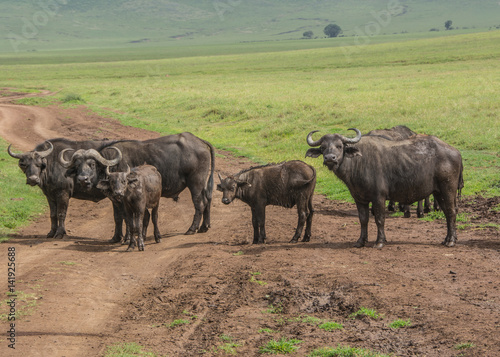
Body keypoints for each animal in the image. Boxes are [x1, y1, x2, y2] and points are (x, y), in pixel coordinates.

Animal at [59, 132, 215, 241]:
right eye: (77, 165)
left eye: (92, 164)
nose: (82, 179)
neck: (112, 166)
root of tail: (199, 141)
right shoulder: (115, 199)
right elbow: (117, 217)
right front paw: (116, 238)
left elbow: (127, 218)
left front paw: (128, 237)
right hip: (202, 184)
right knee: (207, 200)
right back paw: (204, 227)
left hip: (195, 183)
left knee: (200, 204)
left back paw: (192, 229)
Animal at [304, 128, 464, 248]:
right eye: (323, 147)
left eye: (339, 146)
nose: (330, 158)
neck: (358, 162)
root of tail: (456, 152)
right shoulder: (359, 199)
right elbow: (363, 219)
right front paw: (361, 241)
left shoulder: (378, 197)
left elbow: (379, 219)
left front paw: (380, 242)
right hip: (438, 192)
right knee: (447, 212)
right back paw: (447, 239)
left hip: (448, 189)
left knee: (451, 211)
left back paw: (451, 241)